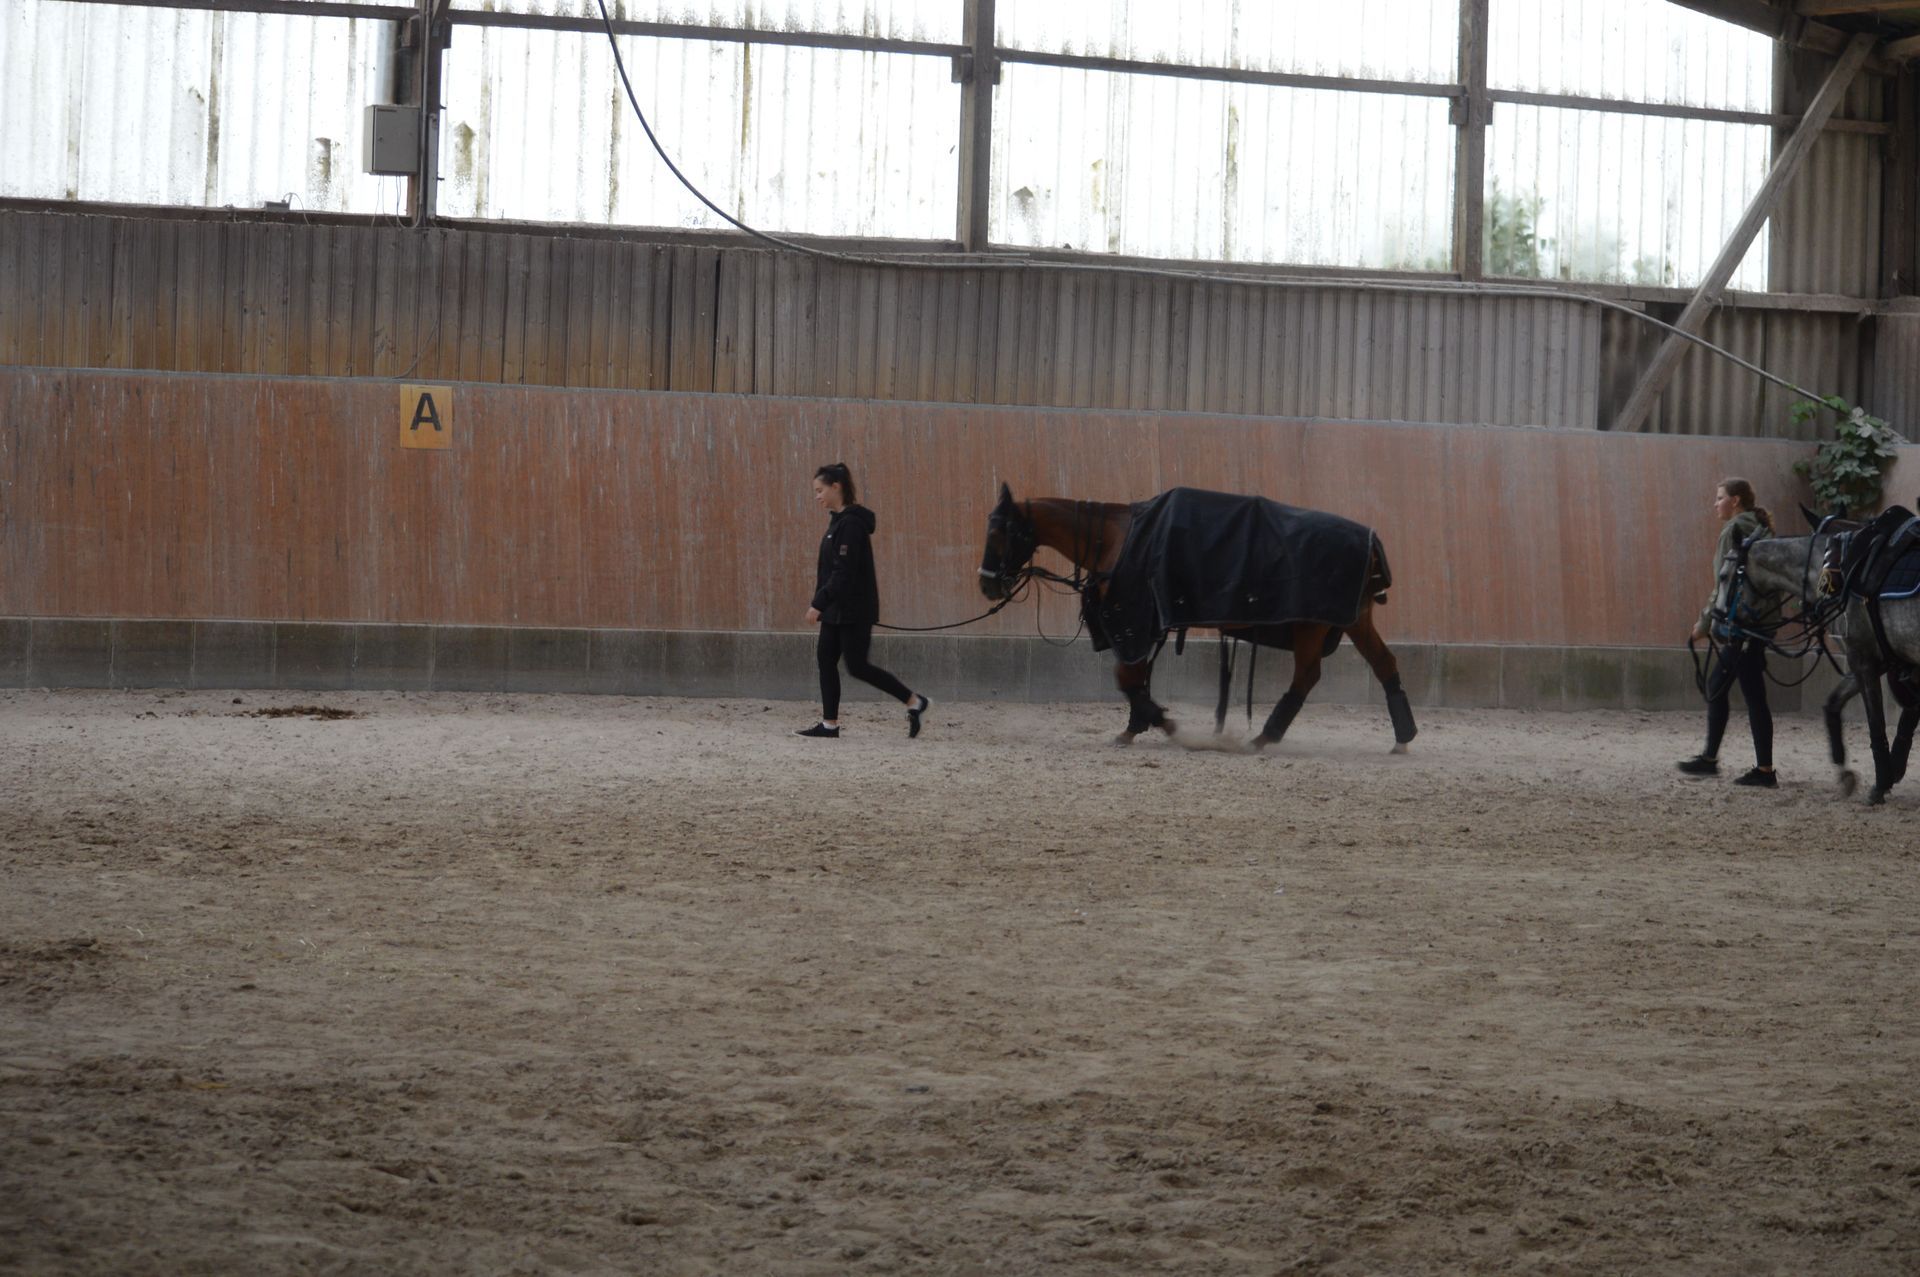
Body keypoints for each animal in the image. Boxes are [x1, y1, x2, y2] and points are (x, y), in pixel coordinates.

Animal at [976, 484, 1418, 751]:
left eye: (998, 532)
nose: (987, 585)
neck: (1119, 539)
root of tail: (1371, 542)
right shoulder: (1148, 628)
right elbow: (1135, 678)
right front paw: (1136, 726)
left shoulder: (1135, 622)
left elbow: (1127, 677)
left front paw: (1162, 724)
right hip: (1354, 620)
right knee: (1384, 664)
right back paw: (1402, 738)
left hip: (1312, 625)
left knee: (1306, 677)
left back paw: (1264, 737)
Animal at [1740, 523, 1920, 805]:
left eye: (1726, 576)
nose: (1718, 619)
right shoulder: (1875, 662)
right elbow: (1833, 705)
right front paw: (1850, 771)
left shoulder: (1862, 660)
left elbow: (1877, 723)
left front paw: (1881, 783)